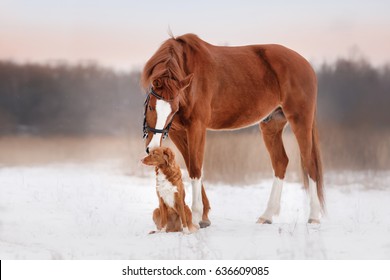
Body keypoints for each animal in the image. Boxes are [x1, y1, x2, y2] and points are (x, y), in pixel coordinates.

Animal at [142, 34, 324, 228]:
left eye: (174, 109)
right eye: (151, 107)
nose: (153, 148)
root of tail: (306, 65)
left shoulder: (197, 127)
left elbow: (196, 168)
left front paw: (197, 217)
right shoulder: (177, 131)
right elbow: (191, 165)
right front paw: (204, 216)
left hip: (300, 120)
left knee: (309, 163)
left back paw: (313, 216)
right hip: (271, 125)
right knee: (280, 162)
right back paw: (267, 215)